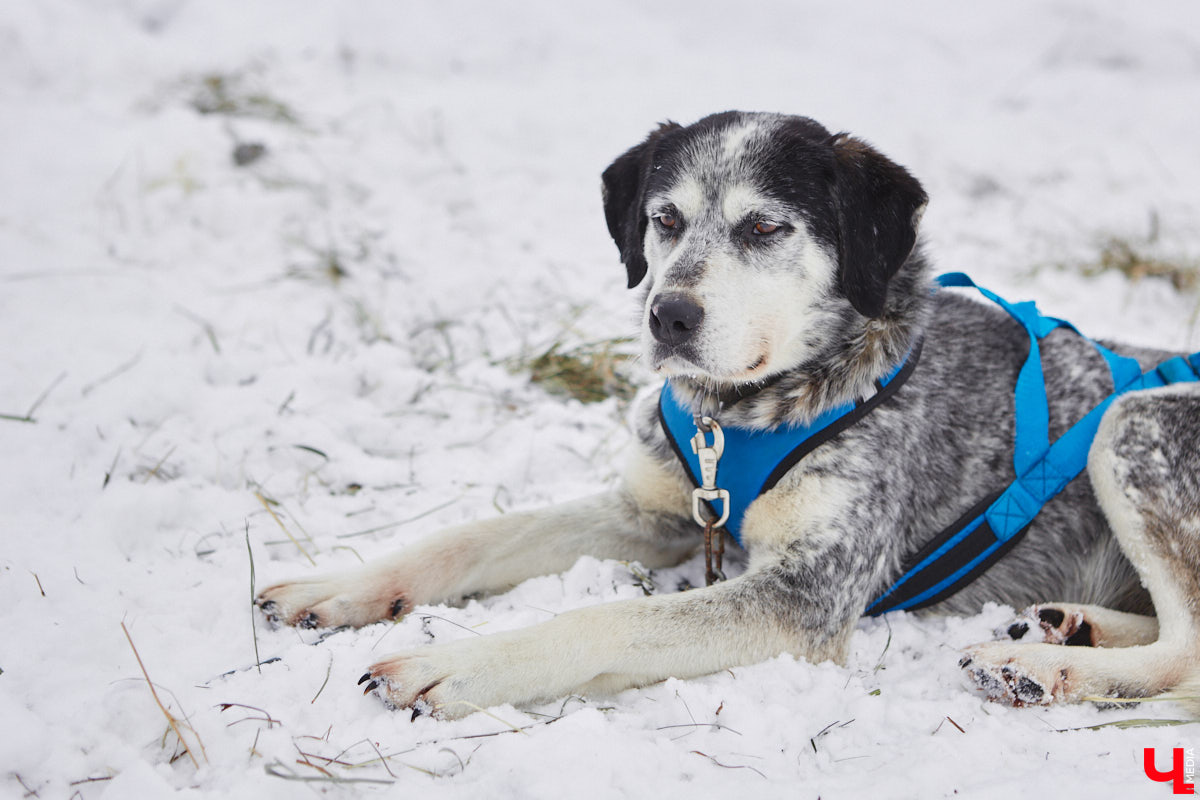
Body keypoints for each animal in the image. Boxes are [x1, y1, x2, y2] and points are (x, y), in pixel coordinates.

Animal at [258, 110, 1200, 719]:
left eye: (764, 228)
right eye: (665, 218)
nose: (666, 317)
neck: (744, 415)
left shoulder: (805, 595)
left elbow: (613, 617)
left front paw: (456, 662)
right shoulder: (653, 511)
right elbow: (471, 536)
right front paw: (338, 585)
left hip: (1134, 424)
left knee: (1188, 652)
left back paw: (1037, 667)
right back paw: (1070, 628)